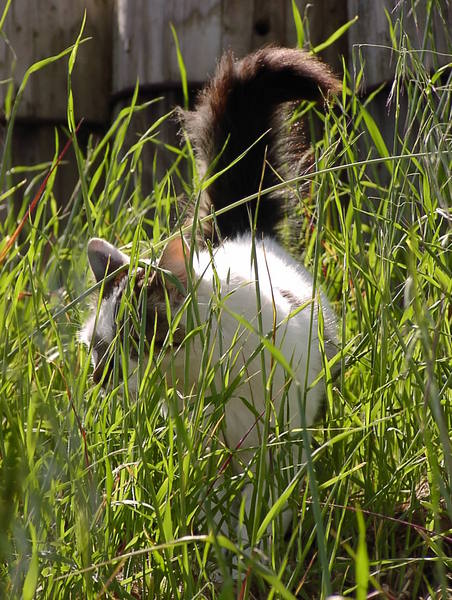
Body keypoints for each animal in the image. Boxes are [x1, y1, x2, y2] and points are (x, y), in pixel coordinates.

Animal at [80, 46, 341, 540]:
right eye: (98, 347)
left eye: (134, 339)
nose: (100, 377)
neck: (200, 374)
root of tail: (243, 233)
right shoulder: (207, 443)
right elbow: (215, 501)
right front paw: (215, 540)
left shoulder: (274, 441)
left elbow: (261, 503)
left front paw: (251, 545)